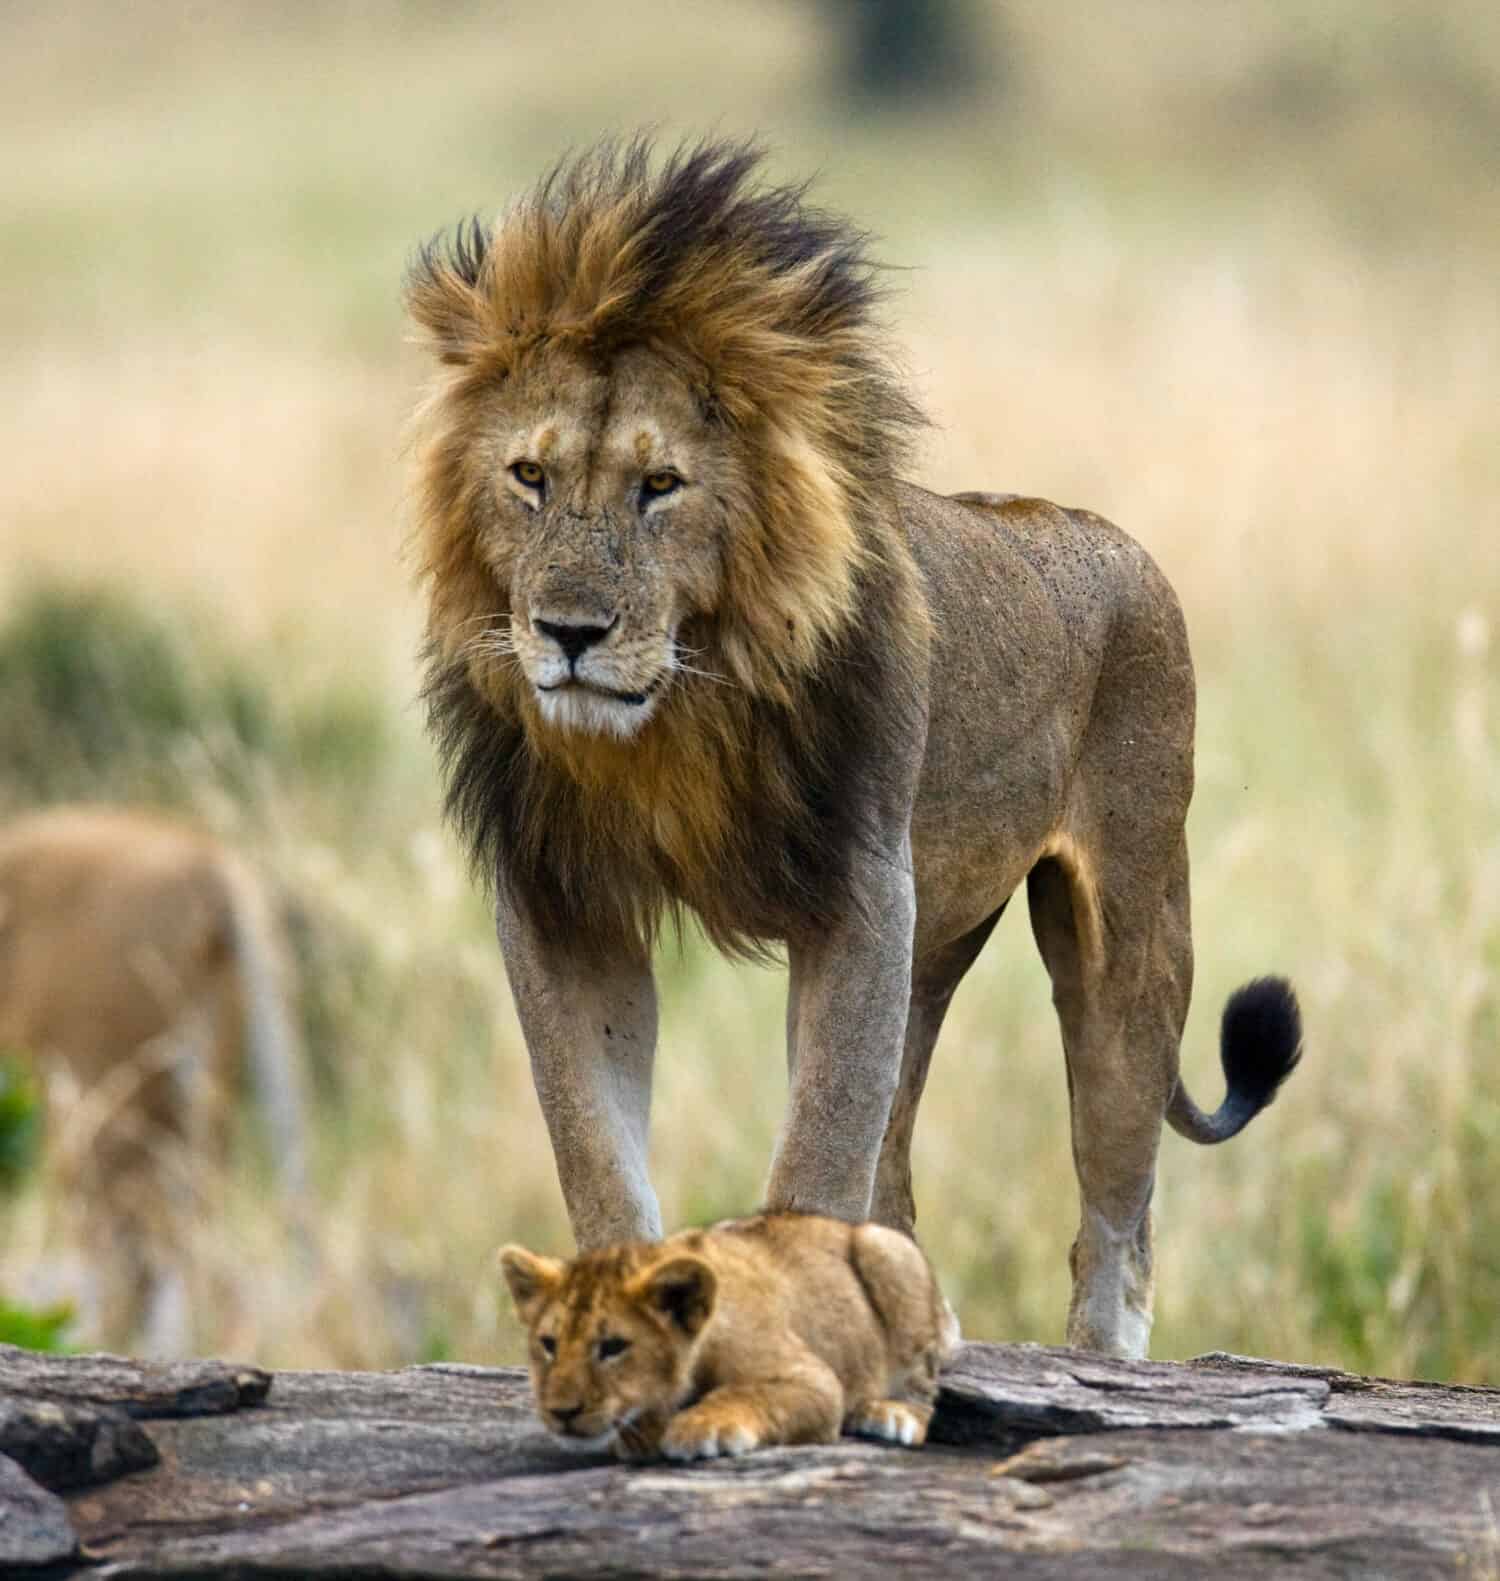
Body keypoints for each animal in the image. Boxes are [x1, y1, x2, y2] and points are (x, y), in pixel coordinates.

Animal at [410, 139, 1302, 1359]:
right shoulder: (563, 900)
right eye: (529, 478)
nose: (568, 632)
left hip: (1130, 931)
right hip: (934, 949)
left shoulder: (859, 891)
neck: (677, 714)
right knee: (903, 1170)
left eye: (660, 486)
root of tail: (1105, 534)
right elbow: (595, 1146)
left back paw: (1099, 1356)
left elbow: (820, 1145)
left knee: (1119, 1212)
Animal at [499, 1214, 948, 1460]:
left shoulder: (814, 1380)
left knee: (928, 1392)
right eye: (549, 1345)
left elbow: (750, 1392)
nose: (561, 1412)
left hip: (888, 1250)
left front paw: (702, 1426)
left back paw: (890, 1414)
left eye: (612, 1347)